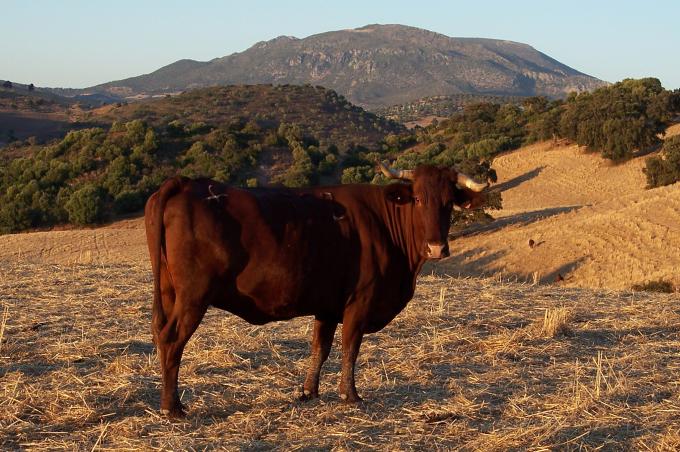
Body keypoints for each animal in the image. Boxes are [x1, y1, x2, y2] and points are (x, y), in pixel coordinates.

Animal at [144, 162, 487, 417]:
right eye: (417, 199)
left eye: (448, 203)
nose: (436, 248)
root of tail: (184, 182)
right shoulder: (360, 302)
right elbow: (350, 347)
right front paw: (350, 395)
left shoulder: (327, 307)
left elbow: (319, 349)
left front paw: (308, 391)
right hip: (193, 297)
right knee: (172, 339)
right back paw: (172, 408)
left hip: (170, 293)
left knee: (160, 335)